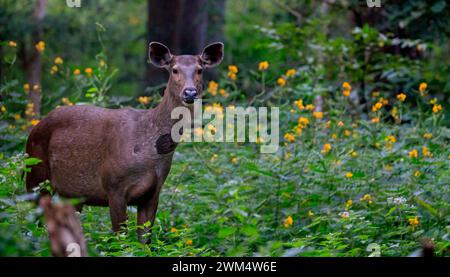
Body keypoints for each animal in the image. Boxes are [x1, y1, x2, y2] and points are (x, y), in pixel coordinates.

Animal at [25, 41, 223, 242]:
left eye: (199, 70)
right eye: (174, 70)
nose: (190, 92)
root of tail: (34, 128)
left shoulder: (153, 193)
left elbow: (144, 241)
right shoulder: (114, 187)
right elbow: (121, 239)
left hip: (71, 194)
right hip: (35, 176)